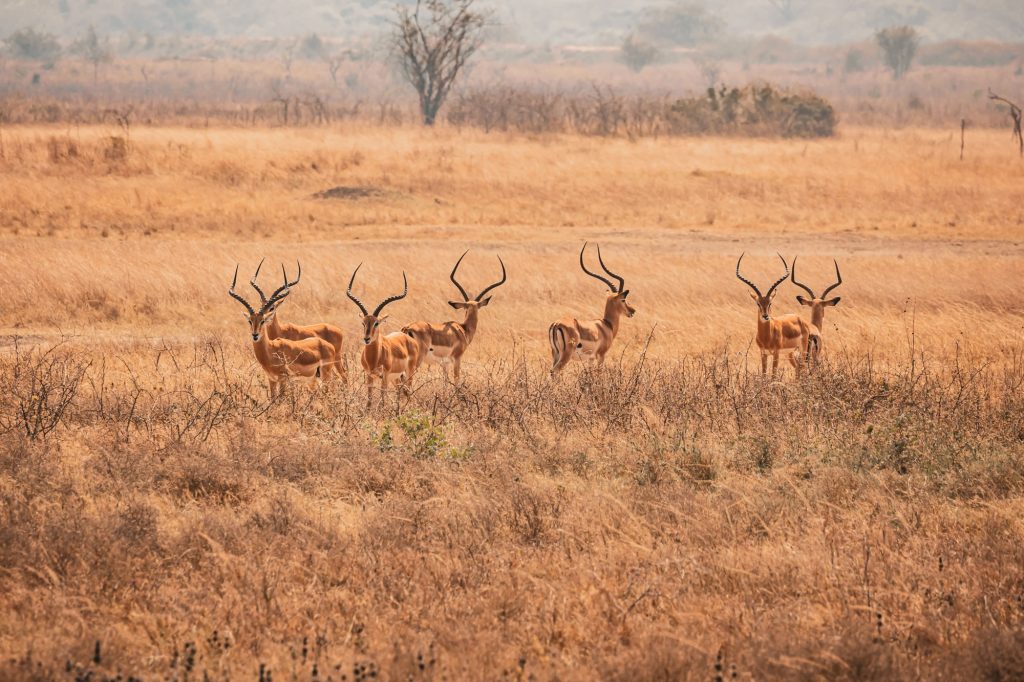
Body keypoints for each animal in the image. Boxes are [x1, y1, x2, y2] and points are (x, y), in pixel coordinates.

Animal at [228, 265, 339, 398]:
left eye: (263, 321)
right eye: (250, 321)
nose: (255, 335)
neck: (271, 350)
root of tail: (327, 344)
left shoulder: (283, 378)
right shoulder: (271, 379)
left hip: (325, 374)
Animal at [346, 264, 425, 406]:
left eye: (376, 323)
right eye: (363, 323)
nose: (366, 339)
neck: (374, 358)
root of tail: (407, 336)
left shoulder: (385, 376)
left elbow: (383, 399)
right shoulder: (369, 376)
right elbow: (369, 401)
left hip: (408, 373)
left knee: (408, 392)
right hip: (397, 378)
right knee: (401, 391)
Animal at [401, 250, 507, 382]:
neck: (463, 329)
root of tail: (407, 328)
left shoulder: (444, 363)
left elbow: (446, 382)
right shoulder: (457, 358)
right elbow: (456, 379)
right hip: (417, 360)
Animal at [549, 242, 636, 373]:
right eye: (623, 299)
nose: (632, 311)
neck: (606, 325)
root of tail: (556, 324)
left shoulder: (591, 358)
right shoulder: (601, 355)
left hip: (555, 353)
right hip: (565, 355)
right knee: (554, 371)